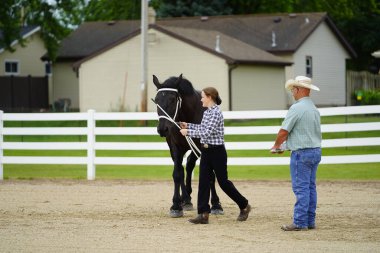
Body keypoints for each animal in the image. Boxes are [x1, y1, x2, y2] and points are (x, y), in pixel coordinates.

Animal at [151, 73, 223, 217]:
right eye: (156, 100)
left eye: (173, 99)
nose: (162, 129)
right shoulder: (175, 147)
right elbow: (177, 174)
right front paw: (175, 205)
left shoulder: (202, 146)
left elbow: (209, 173)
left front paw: (216, 204)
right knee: (182, 169)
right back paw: (185, 199)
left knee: (189, 165)